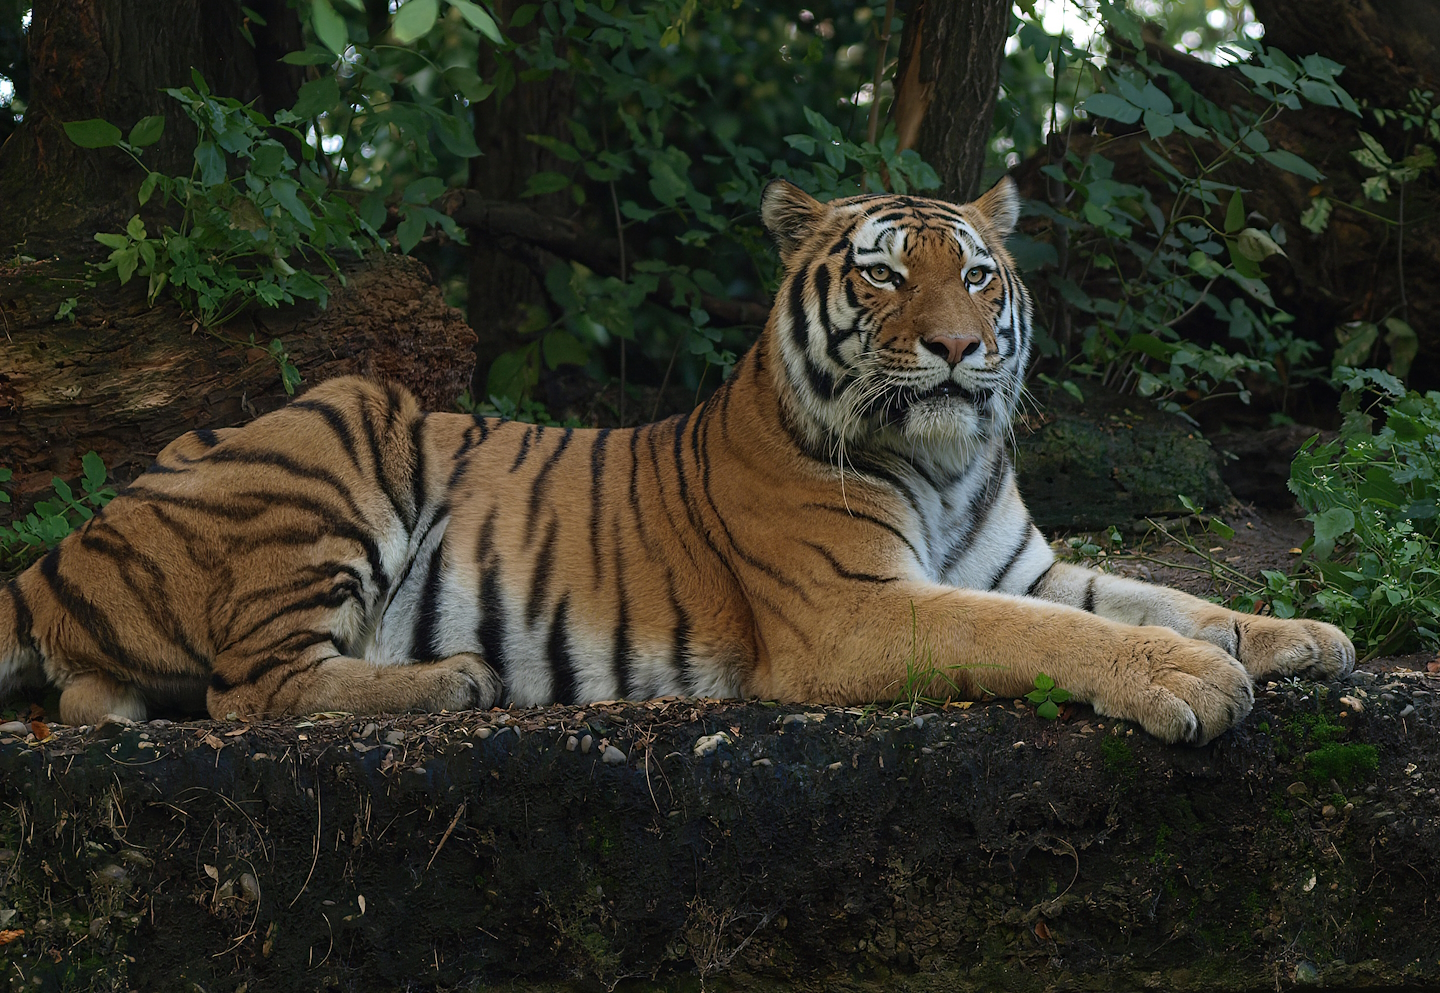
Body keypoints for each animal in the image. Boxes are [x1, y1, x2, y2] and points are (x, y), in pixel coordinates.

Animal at [0, 177, 1354, 743]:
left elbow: (1160, 595)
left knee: (115, 697)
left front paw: (1298, 637)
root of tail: (73, 537)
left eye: (976, 275)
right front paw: (1194, 683)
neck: (948, 466)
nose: (962, 350)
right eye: (883, 274)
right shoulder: (856, 611)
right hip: (338, 430)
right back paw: (451, 683)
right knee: (252, 691)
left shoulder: (1020, 565)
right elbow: (1051, 638)